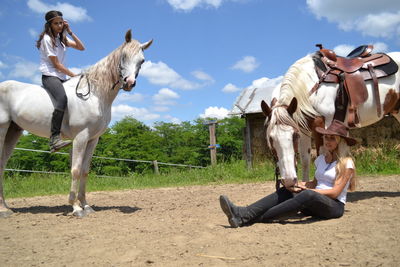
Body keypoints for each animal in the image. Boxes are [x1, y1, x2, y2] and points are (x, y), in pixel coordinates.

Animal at [0, 29, 152, 218]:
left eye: (142, 60)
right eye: (123, 56)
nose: (129, 83)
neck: (94, 94)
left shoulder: (93, 139)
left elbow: (85, 171)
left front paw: (86, 205)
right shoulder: (80, 137)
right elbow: (76, 169)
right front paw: (76, 208)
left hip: (13, 132)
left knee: (1, 165)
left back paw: (6, 208)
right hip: (2, 129)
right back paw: (3, 210)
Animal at [260, 51, 398, 187]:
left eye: (294, 136)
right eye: (270, 139)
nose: (289, 181)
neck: (310, 90)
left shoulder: (322, 127)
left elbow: (322, 157)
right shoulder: (304, 130)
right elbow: (305, 160)